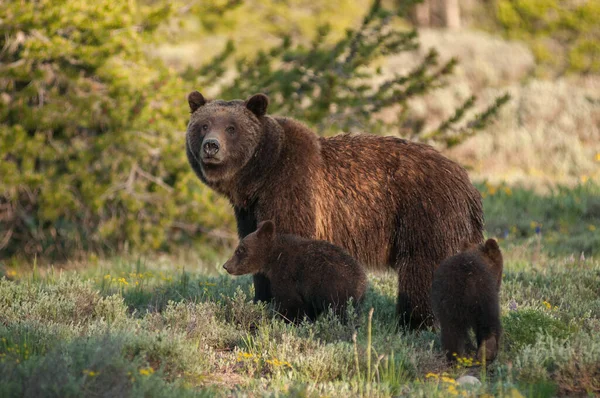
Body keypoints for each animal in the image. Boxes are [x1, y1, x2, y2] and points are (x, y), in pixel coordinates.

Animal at [223, 221, 368, 324]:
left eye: (240, 250)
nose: (226, 266)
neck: (274, 258)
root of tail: (362, 280)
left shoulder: (287, 275)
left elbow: (289, 302)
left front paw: (285, 320)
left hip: (336, 288)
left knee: (341, 312)